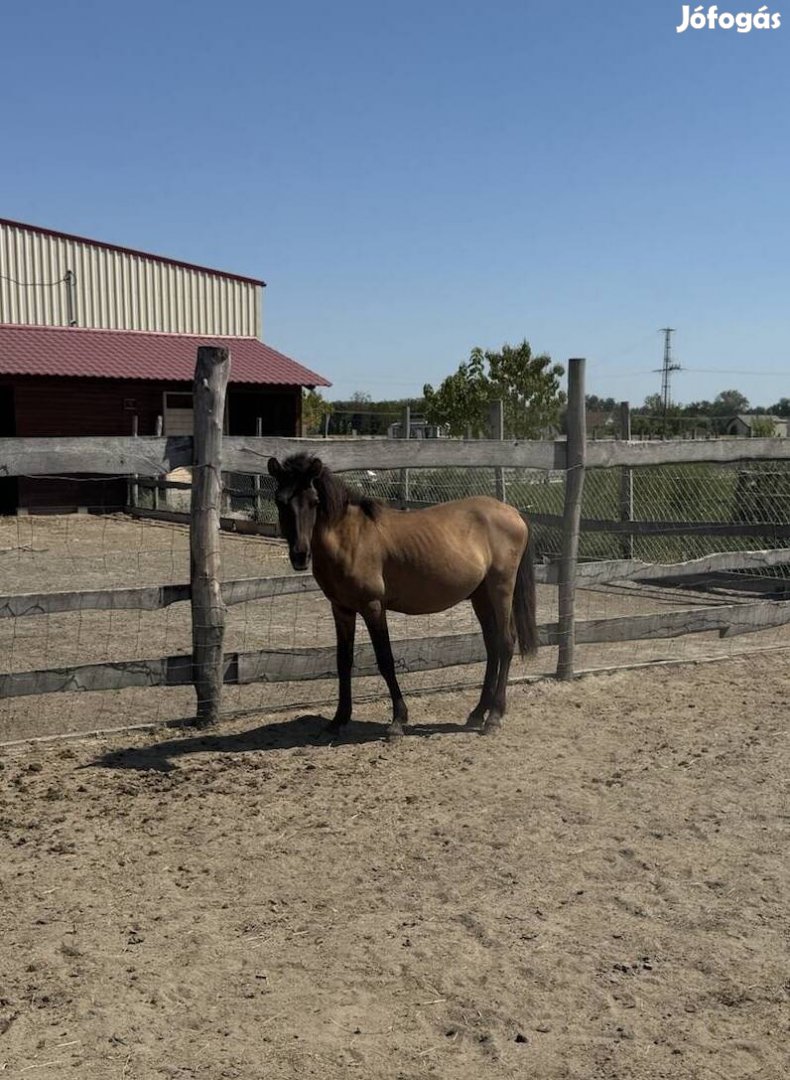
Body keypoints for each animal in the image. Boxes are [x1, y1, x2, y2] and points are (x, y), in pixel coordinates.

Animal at [266, 451, 538, 738]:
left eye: (314, 501)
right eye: (280, 500)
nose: (300, 555)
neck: (350, 538)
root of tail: (513, 512)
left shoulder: (373, 607)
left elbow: (385, 659)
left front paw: (398, 719)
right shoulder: (341, 609)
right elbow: (343, 662)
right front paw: (338, 720)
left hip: (501, 590)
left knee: (506, 643)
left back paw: (494, 717)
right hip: (480, 596)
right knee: (492, 646)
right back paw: (477, 713)